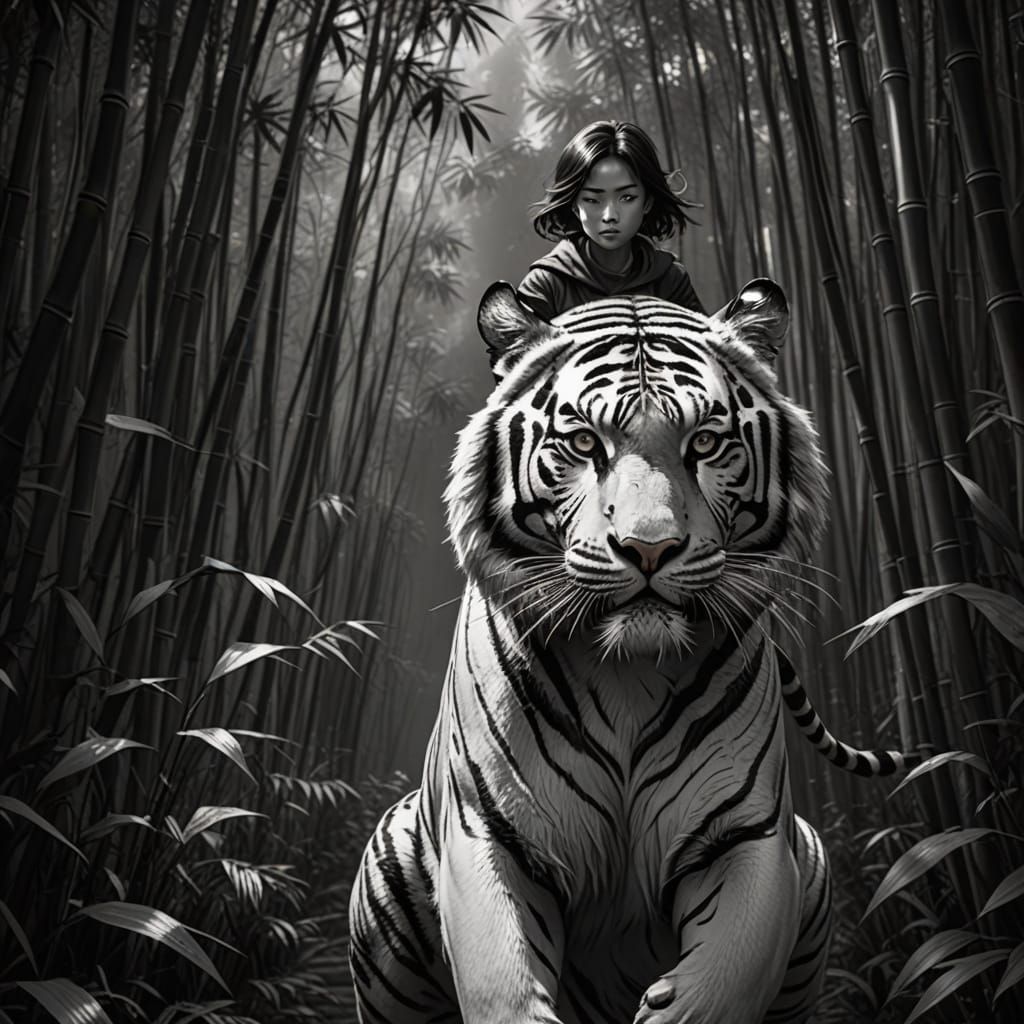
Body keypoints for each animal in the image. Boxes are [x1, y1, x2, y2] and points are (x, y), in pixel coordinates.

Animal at [348, 280, 915, 1024]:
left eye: (705, 441)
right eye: (585, 441)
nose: (650, 548)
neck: (628, 675)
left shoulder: (748, 836)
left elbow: (724, 980)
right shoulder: (491, 832)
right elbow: (504, 985)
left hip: (813, 865)